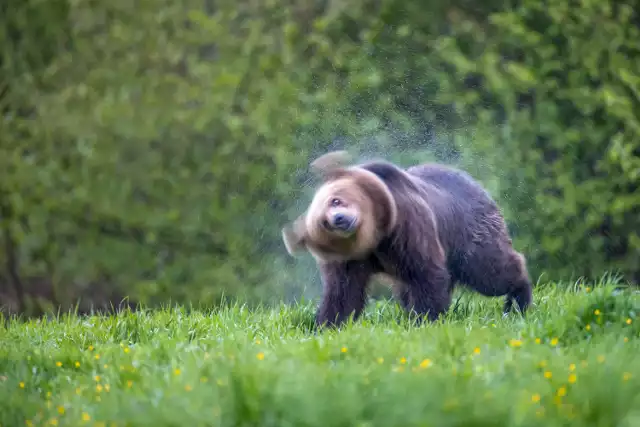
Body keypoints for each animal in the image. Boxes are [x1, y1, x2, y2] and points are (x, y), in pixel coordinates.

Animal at [282, 152, 532, 330]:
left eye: (335, 200)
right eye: (324, 223)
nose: (339, 219)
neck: (375, 238)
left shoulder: (406, 227)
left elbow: (426, 272)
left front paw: (425, 319)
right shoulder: (349, 260)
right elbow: (343, 292)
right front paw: (327, 324)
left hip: (467, 230)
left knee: (488, 269)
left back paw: (517, 301)